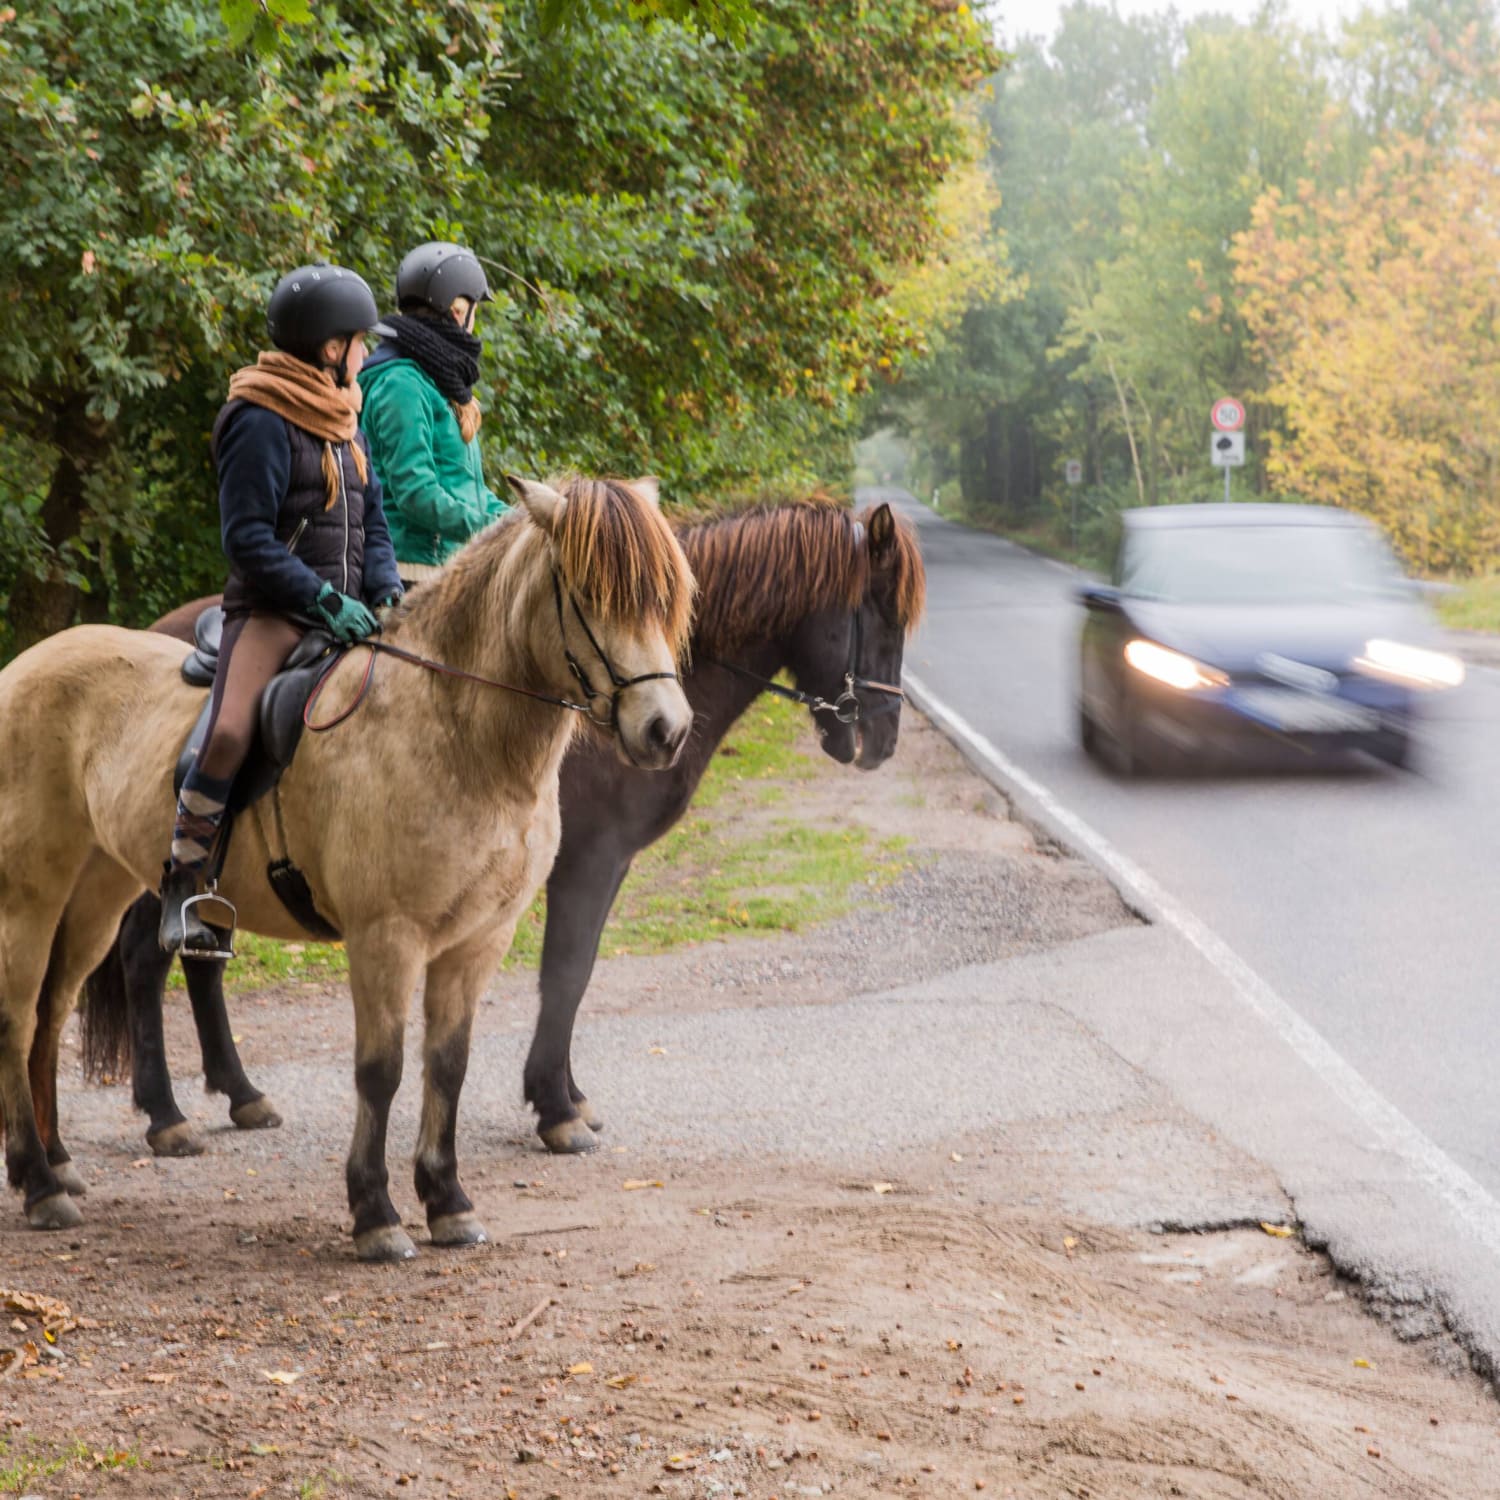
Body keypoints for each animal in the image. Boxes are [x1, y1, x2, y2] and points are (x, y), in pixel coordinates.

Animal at [0, 477, 690, 1254]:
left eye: (668, 596)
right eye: (588, 592)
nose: (666, 731)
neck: (454, 731)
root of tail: (26, 664)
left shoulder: (478, 942)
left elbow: (447, 1066)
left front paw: (448, 1201)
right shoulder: (386, 937)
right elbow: (380, 1071)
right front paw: (376, 1213)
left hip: (99, 890)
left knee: (53, 1011)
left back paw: (58, 1162)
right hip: (31, 896)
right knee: (19, 1018)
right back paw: (41, 1182)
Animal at [79, 498, 924, 1152]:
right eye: (878, 618)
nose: (881, 740)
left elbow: (571, 976)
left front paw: (567, 1096)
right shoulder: (586, 862)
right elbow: (567, 974)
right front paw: (555, 1107)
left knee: (199, 962)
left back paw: (241, 1092)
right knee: (147, 960)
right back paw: (165, 1113)